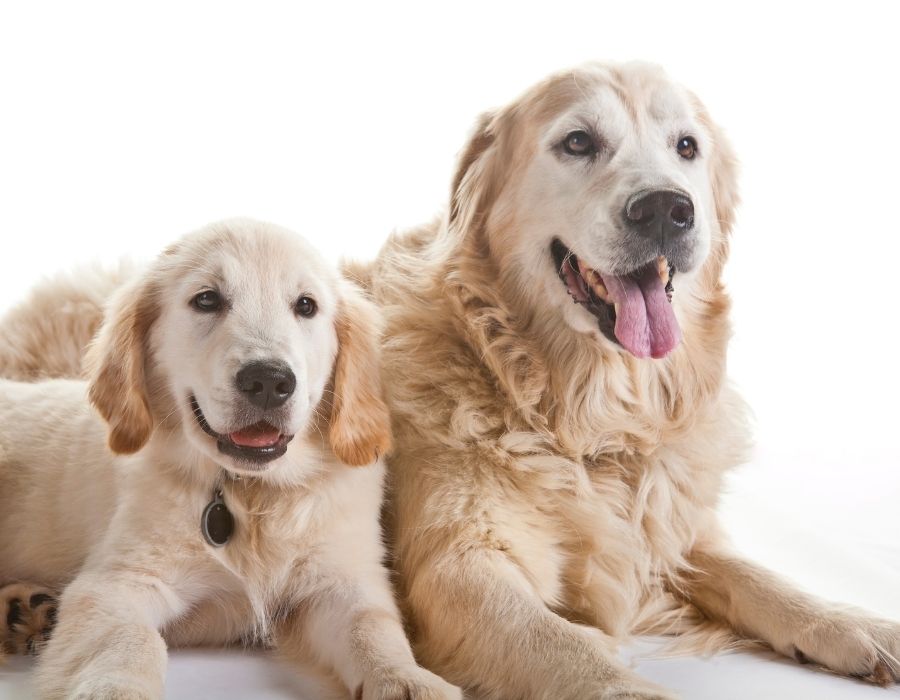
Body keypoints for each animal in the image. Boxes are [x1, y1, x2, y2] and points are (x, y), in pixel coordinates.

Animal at [0, 220, 460, 700]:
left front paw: (408, 680)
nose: (269, 381)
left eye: (306, 305)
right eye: (207, 299)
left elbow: (372, 628)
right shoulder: (117, 582)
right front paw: (115, 689)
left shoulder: (343, 580)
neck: (250, 492)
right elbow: (130, 639)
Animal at [356, 63, 896, 696]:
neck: (593, 420)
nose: (665, 209)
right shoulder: (457, 565)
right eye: (578, 142)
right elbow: (572, 651)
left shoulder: (673, 528)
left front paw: (855, 624)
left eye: (686, 146)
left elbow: (760, 578)